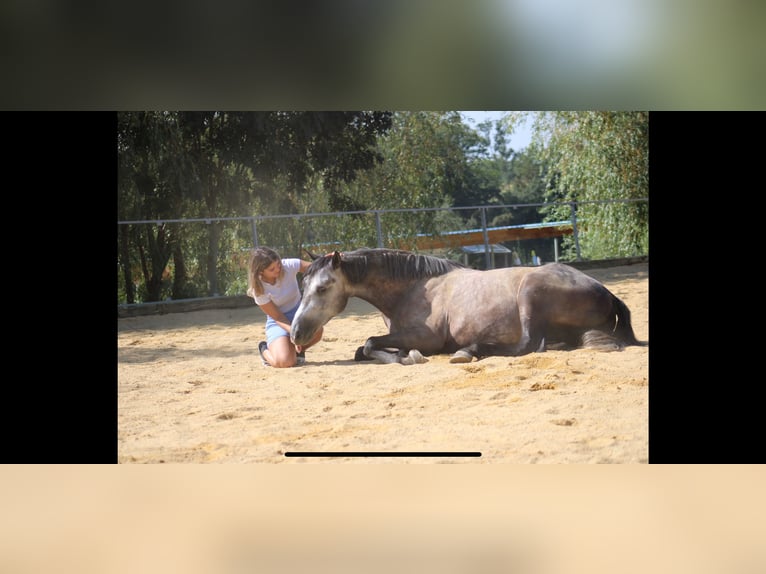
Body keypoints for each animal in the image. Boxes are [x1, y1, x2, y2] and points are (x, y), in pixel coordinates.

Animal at [290, 248, 647, 365]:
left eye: (323, 287)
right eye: (301, 286)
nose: (296, 334)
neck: (415, 288)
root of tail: (605, 291)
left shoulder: (426, 337)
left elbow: (367, 344)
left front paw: (406, 358)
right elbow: (361, 350)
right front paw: (399, 355)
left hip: (530, 294)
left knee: (527, 345)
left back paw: (467, 351)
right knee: (549, 343)